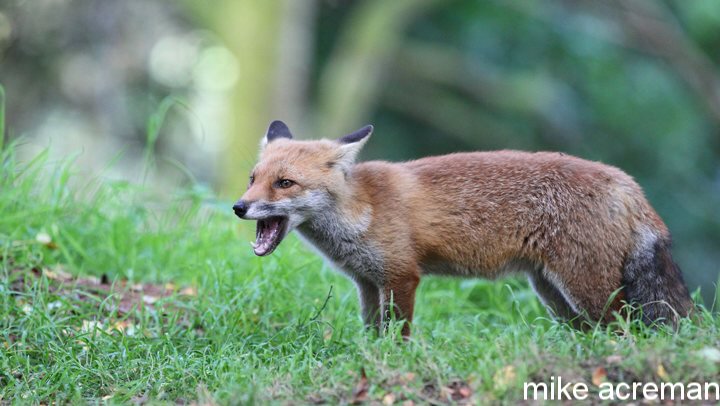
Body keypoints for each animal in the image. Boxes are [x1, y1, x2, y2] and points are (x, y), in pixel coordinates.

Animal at [233, 120, 693, 337]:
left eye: (285, 183)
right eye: (252, 178)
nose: (239, 207)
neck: (361, 210)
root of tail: (627, 182)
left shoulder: (402, 276)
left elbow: (398, 333)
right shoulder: (368, 282)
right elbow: (372, 332)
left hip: (589, 291)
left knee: (627, 332)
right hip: (554, 293)